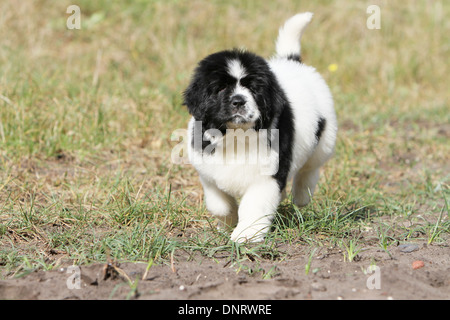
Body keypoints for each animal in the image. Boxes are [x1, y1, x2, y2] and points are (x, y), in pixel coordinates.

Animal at [184, 13, 338, 242]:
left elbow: (254, 206)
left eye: (253, 89)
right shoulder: (207, 171)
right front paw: (227, 223)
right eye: (220, 88)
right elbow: (218, 204)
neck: (236, 136)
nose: (238, 101)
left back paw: (302, 194)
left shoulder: (266, 175)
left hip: (324, 139)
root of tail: (290, 60)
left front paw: (246, 234)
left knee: (310, 168)